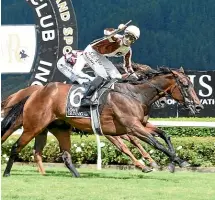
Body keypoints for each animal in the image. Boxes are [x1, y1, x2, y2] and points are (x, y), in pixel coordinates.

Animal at [1, 67, 203, 177]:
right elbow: (153, 143)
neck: (134, 94)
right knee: (15, 146)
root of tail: (35, 93)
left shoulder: (140, 125)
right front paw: (174, 161)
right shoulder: (131, 127)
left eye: (192, 84)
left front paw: (173, 162)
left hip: (56, 128)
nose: (198, 106)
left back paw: (73, 175)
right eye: (186, 85)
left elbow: (165, 135)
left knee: (57, 154)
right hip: (32, 126)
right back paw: (7, 172)